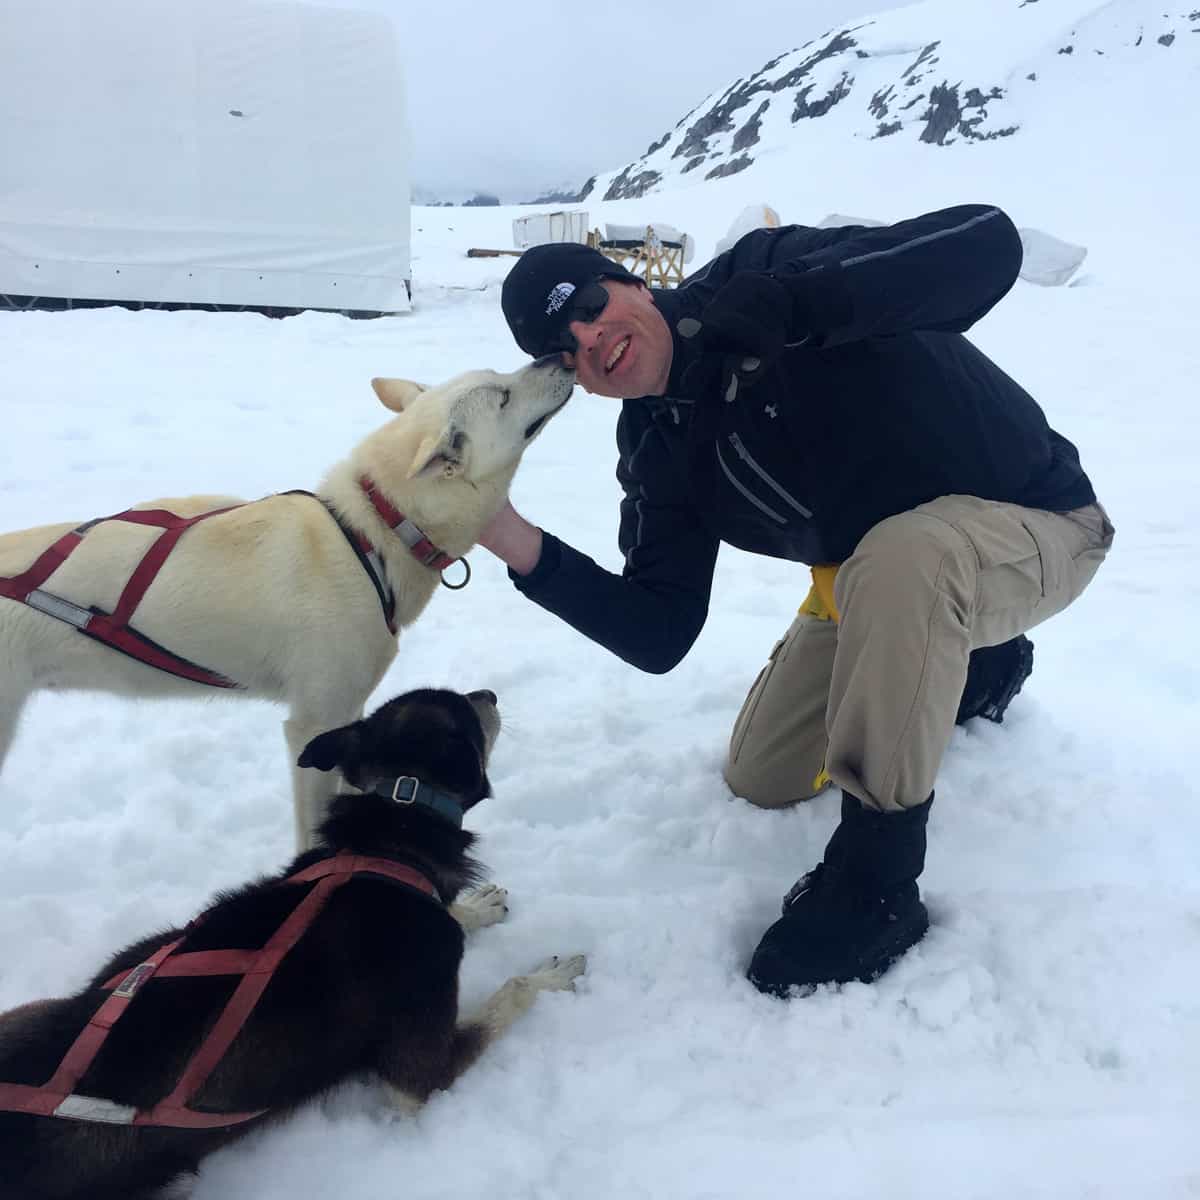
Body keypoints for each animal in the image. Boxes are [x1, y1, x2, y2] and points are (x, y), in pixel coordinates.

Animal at [0, 360, 573, 849]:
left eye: (501, 376)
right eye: (503, 394)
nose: (559, 356)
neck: (372, 532)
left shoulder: (349, 710)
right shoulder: (313, 724)